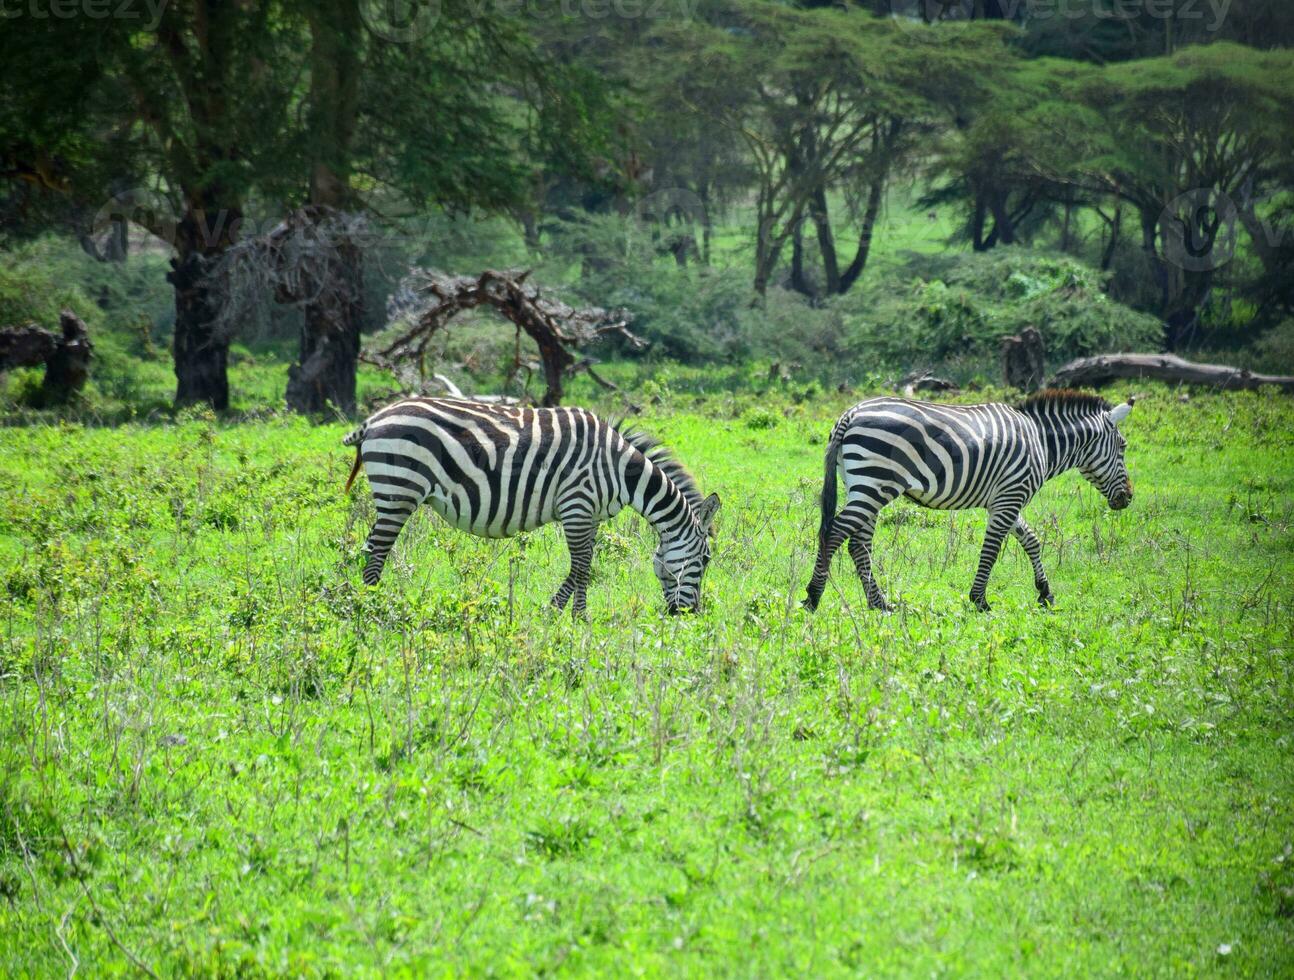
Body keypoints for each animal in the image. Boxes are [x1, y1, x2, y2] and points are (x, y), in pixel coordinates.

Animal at [339, 396, 724, 611]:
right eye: (705, 560)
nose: (689, 615)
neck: (621, 472)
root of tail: (374, 419)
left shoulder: (591, 516)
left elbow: (583, 566)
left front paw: (562, 614)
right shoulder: (577, 505)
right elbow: (582, 567)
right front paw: (570, 617)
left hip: (394, 491)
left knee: (371, 547)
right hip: (399, 488)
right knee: (377, 551)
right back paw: (372, 607)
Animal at [797, 390, 1133, 611]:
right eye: (1123, 446)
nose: (1128, 497)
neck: (1041, 442)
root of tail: (850, 413)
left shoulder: (1005, 498)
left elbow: (1031, 540)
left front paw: (1045, 593)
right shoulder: (1010, 496)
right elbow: (993, 549)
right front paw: (980, 600)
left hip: (863, 483)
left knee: (858, 542)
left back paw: (879, 603)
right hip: (874, 483)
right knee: (835, 533)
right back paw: (813, 596)